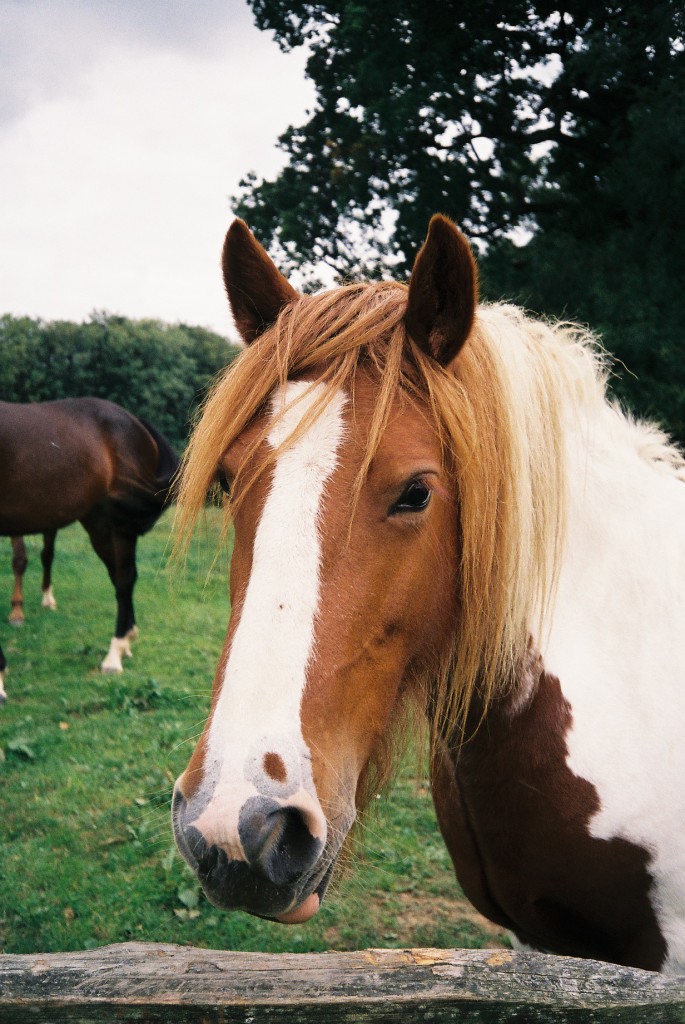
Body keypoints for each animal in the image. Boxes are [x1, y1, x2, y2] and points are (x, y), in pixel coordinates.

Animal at [0, 393, 179, 704]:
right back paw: (127, 641)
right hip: (98, 526)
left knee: (124, 580)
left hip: (119, 523)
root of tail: (135, 421)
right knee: (120, 579)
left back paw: (114, 655)